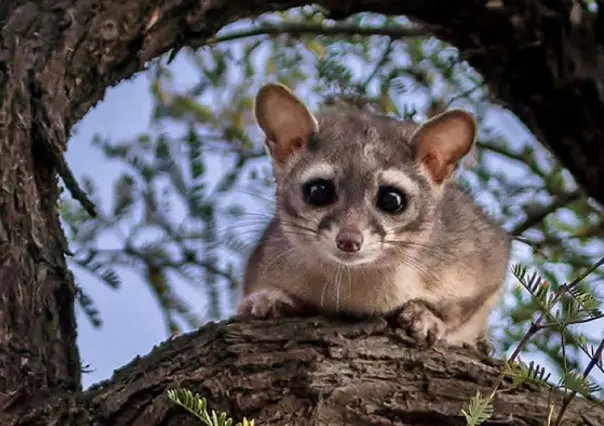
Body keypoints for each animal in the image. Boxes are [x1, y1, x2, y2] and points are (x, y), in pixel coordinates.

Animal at [236, 83, 510, 350]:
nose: (348, 241)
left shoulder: (478, 258)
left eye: (392, 200)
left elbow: (464, 308)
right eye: (318, 191)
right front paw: (268, 298)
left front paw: (427, 316)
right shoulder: (267, 257)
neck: (355, 284)